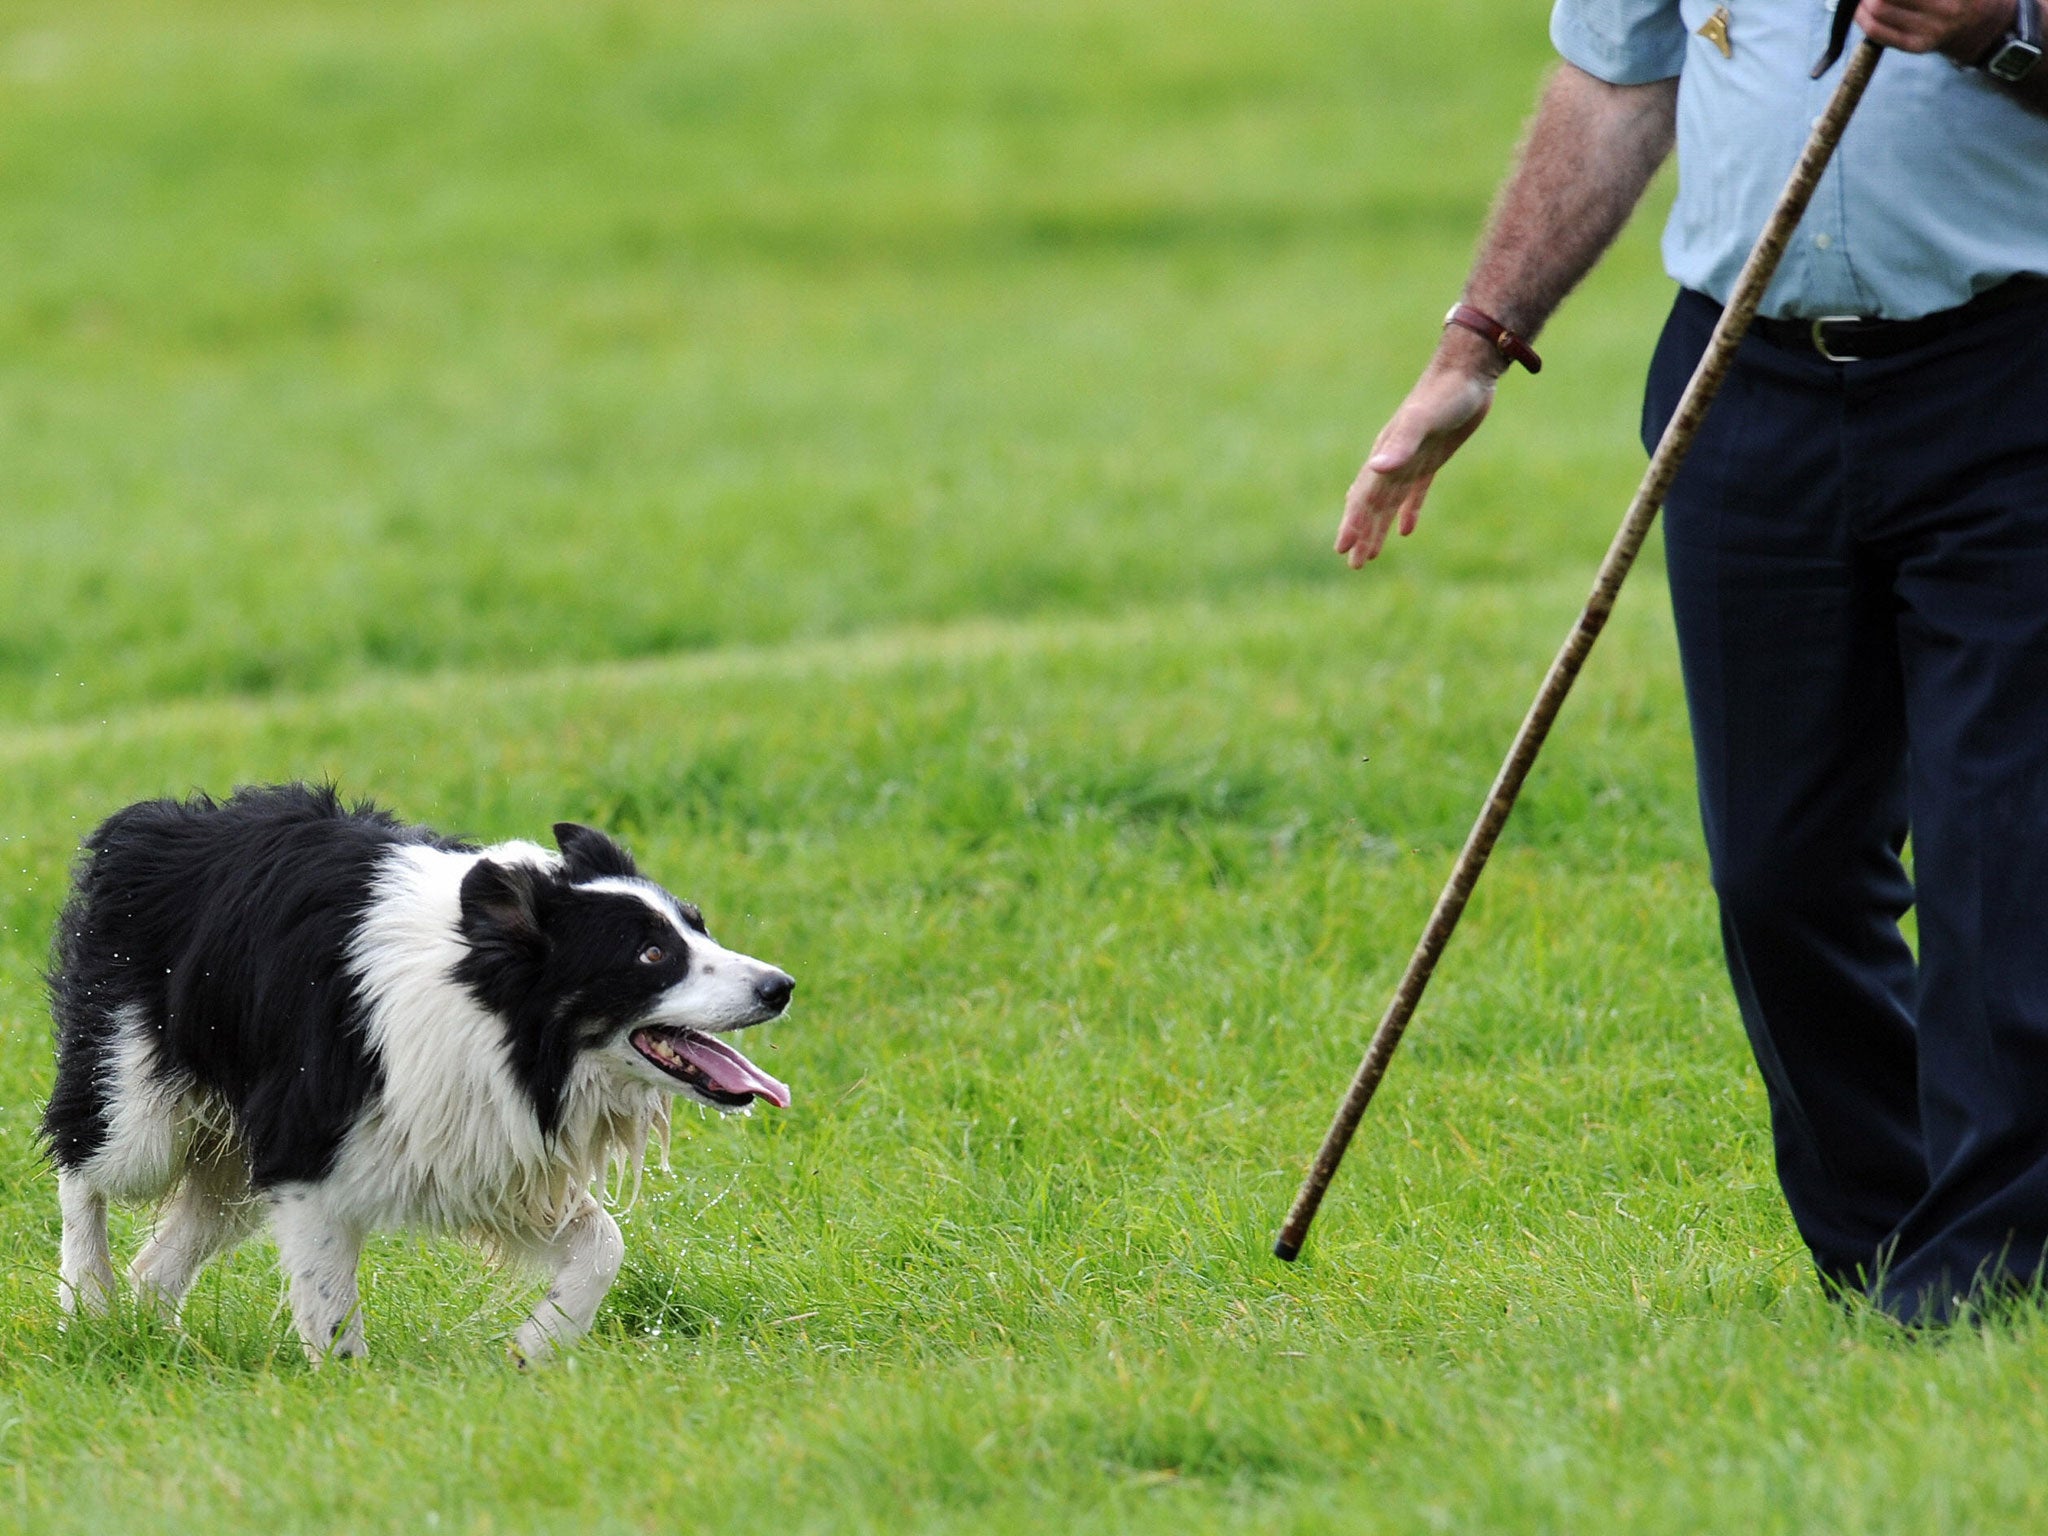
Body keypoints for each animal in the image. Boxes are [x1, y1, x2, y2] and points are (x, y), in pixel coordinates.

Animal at [41, 786, 790, 1368]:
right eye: (651, 954)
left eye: (698, 927)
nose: (780, 986)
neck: (497, 1013)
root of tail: (151, 825)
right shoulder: (307, 1148)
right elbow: (330, 1306)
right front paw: (349, 1394)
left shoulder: (488, 1152)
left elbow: (604, 1243)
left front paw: (534, 1349)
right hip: (141, 1103)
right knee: (82, 1169)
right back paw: (88, 1302)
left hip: (232, 1163)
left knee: (161, 1260)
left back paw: (150, 1339)